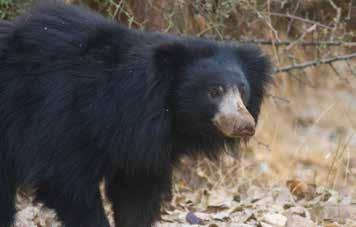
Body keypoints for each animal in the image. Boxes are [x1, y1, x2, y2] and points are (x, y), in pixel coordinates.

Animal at [0, 0, 272, 226]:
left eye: (243, 89)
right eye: (214, 91)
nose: (245, 124)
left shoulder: (139, 145)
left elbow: (136, 191)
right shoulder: (61, 115)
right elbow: (65, 178)